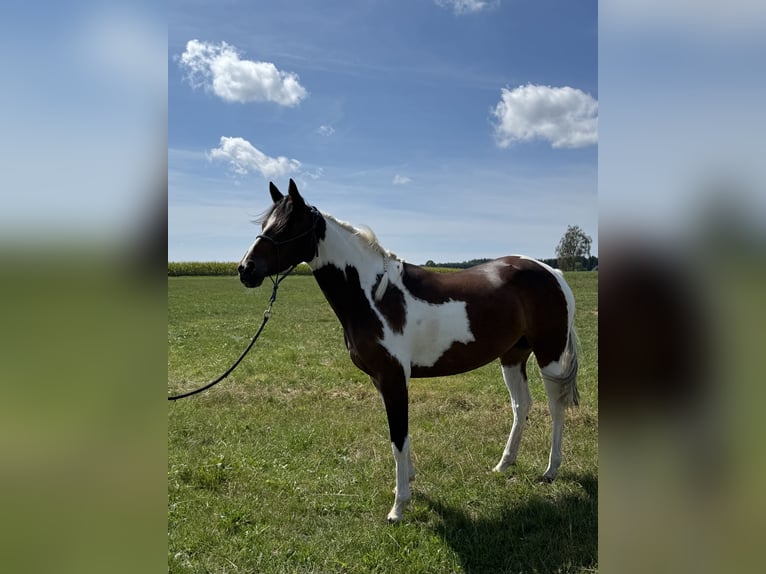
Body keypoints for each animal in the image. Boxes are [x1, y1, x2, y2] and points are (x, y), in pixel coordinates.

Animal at [238, 179, 580, 522]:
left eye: (287, 226)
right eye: (265, 225)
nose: (245, 269)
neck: (373, 296)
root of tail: (552, 273)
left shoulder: (393, 378)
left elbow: (397, 438)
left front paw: (399, 506)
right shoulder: (381, 379)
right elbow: (400, 437)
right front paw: (408, 481)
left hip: (548, 355)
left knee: (556, 406)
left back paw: (551, 470)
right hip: (512, 356)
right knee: (521, 405)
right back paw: (504, 464)